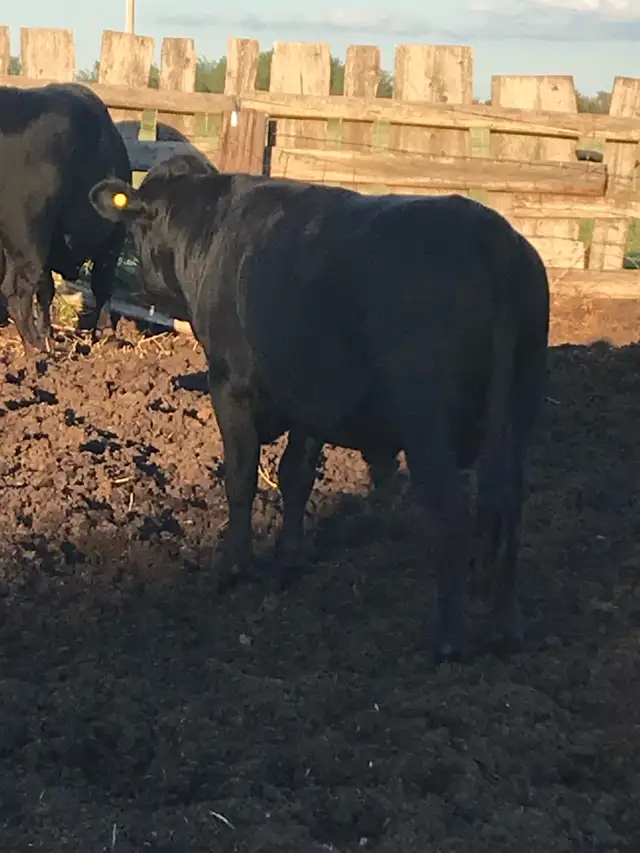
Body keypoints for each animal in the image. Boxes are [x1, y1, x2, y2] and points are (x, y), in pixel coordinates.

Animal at [0, 81, 131, 352]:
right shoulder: (113, 238)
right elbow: (102, 284)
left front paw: (49, 332)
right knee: (17, 293)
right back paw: (36, 349)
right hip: (28, 239)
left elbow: (46, 291)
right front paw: (107, 333)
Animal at [88, 154, 550, 664]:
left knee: (450, 507)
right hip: (521, 406)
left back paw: (447, 638)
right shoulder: (310, 398)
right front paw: (290, 556)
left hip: (428, 421)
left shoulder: (230, 385)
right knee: (509, 502)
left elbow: (241, 477)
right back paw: (506, 628)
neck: (208, 227)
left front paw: (235, 566)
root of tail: (495, 241)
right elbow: (296, 476)